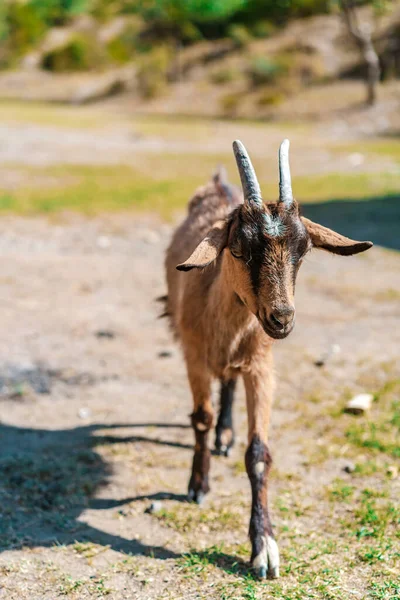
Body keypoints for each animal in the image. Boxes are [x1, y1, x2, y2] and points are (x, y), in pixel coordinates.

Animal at [163, 138, 372, 580]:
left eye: (304, 250)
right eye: (238, 248)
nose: (282, 318)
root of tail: (219, 182)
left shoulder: (261, 366)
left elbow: (258, 454)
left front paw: (264, 547)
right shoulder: (192, 354)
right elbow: (201, 418)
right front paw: (198, 485)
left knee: (227, 380)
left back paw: (226, 436)